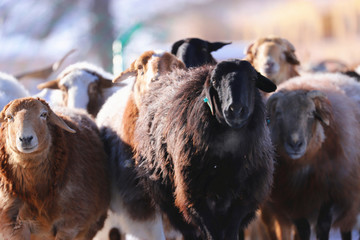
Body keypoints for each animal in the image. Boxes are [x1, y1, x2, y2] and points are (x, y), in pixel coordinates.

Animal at [132, 59, 276, 239]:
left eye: (252, 79)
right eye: (214, 81)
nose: (235, 110)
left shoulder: (244, 199)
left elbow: (231, 231)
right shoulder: (195, 198)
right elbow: (212, 233)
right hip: (169, 199)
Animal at [266, 73, 360, 240]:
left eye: (311, 113)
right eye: (279, 114)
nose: (295, 144)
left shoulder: (331, 192)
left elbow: (323, 225)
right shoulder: (291, 200)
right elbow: (303, 228)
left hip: (350, 200)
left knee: (345, 228)